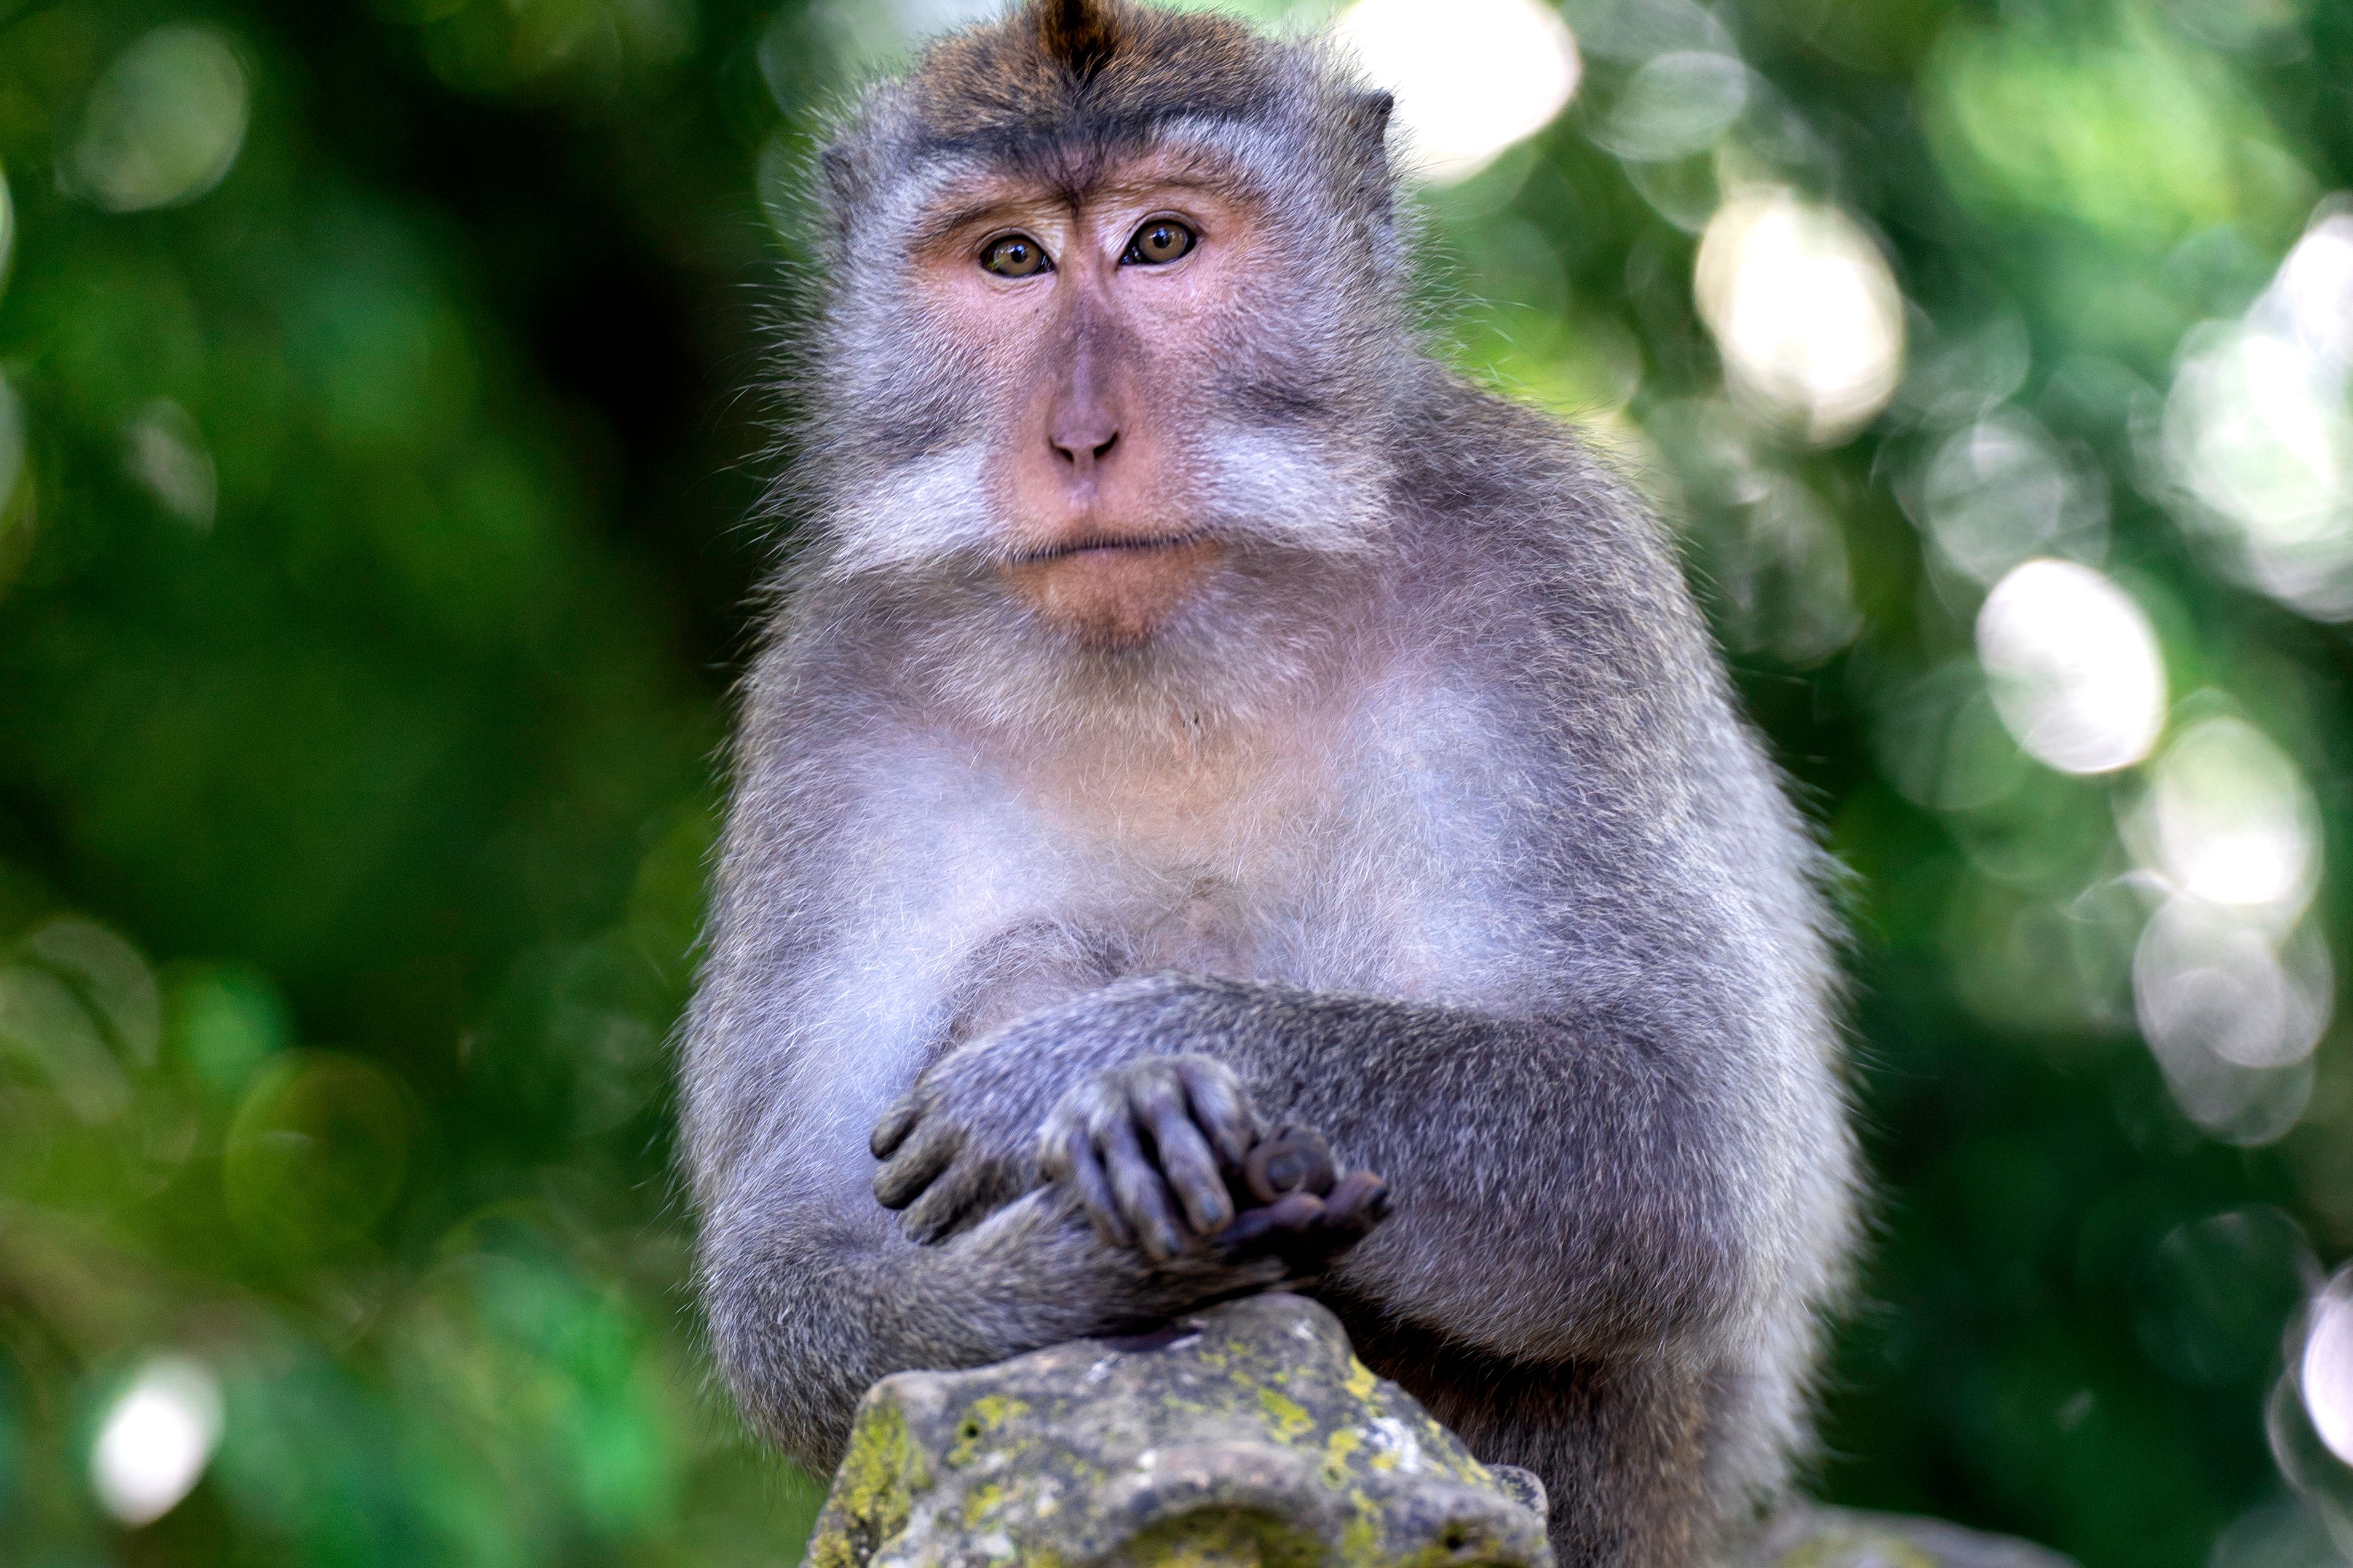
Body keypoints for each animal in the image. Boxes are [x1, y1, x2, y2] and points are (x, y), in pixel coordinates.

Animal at [681, 2, 1860, 1565]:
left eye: (1161, 243)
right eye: (1009, 260)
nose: (1079, 439)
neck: (1182, 648)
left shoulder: (1548, 572)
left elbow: (1673, 1138)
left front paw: (1107, 1080)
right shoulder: (834, 691)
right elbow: (785, 1253)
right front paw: (1074, 1260)